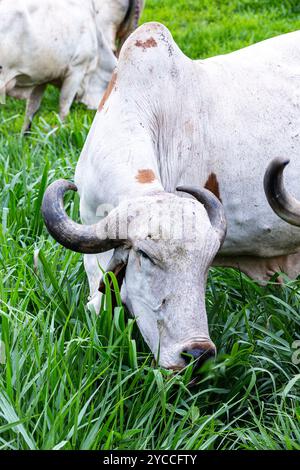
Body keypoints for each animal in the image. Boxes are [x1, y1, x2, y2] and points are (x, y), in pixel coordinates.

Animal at [0, 0, 142, 132]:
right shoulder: (76, 71)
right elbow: (64, 108)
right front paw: (58, 132)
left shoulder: (43, 77)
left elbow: (32, 108)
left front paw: (25, 136)